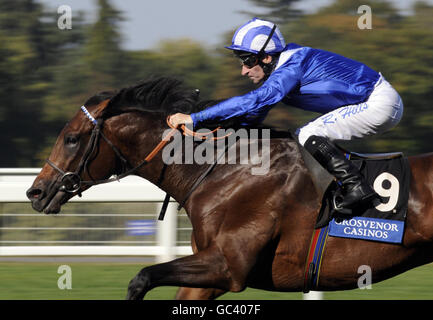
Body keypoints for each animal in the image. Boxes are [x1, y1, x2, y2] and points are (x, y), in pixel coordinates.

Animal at [26, 77, 432, 300]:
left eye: (72, 138)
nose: (36, 192)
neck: (222, 171)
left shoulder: (227, 266)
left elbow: (141, 277)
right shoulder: (210, 277)